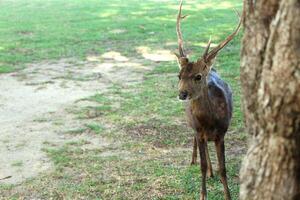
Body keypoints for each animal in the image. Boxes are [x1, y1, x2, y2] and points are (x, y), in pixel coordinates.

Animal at [173, 0, 241, 199]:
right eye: (179, 75)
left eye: (198, 76)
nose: (182, 94)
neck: (210, 122)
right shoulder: (198, 131)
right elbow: (202, 167)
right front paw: (203, 194)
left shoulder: (222, 133)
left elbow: (223, 168)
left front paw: (228, 195)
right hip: (193, 127)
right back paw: (194, 160)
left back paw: (212, 171)